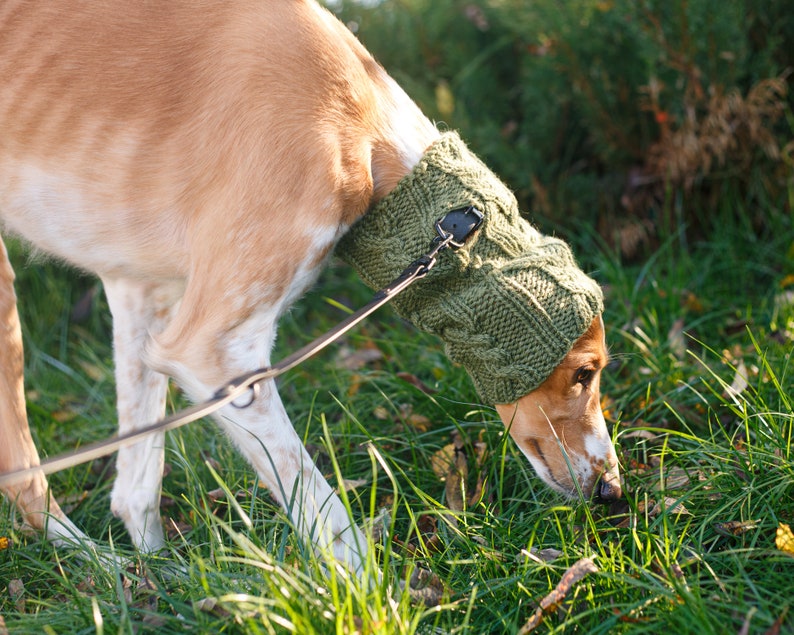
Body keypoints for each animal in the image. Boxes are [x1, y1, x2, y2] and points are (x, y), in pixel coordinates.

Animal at [0, 0, 620, 572]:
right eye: (583, 373)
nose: (612, 492)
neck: (359, 120)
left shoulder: (141, 292)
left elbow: (137, 483)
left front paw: (159, 579)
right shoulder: (214, 353)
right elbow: (330, 519)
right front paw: (377, 595)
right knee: (21, 473)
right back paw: (94, 563)